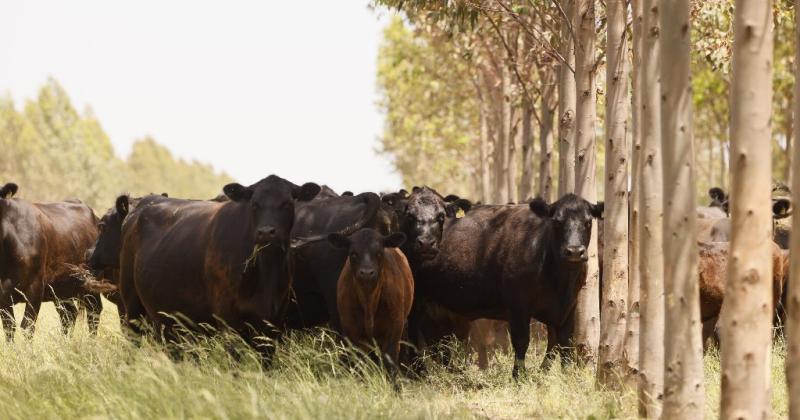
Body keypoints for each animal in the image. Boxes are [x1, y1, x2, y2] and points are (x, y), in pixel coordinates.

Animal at [0, 182, 101, 340]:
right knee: (69, 314)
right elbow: (9, 328)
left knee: (94, 312)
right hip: (62, 287)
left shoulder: (35, 287)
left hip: (91, 283)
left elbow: (27, 326)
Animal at [326, 228, 412, 376]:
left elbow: (390, 361)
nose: (367, 273)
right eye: (353, 254)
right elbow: (360, 364)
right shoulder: (352, 331)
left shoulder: (394, 327)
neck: (369, 302)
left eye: (379, 253)